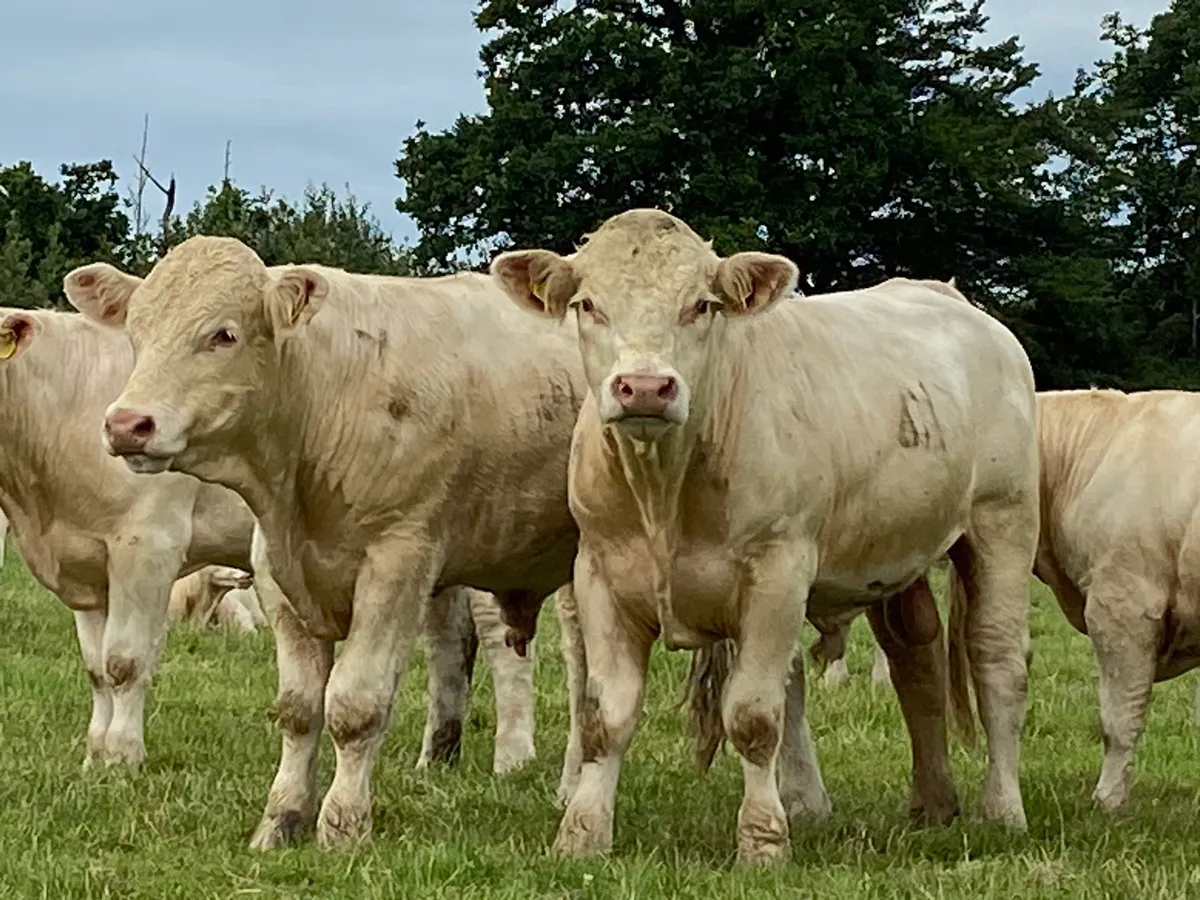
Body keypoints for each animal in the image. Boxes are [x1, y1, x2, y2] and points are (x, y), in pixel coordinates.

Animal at [0, 309, 253, 768]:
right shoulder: (87, 562)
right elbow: (96, 667)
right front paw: (95, 756)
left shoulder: (148, 547)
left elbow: (125, 662)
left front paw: (122, 756)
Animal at [64, 240, 585, 854]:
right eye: (138, 333)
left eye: (224, 334)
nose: (127, 424)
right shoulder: (276, 575)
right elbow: (298, 710)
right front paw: (282, 817)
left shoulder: (396, 565)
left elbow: (355, 706)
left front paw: (343, 824)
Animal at [492, 211, 1036, 868]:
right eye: (588, 304)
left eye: (701, 305)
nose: (644, 387)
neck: (663, 491)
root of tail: (949, 297)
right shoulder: (599, 574)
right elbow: (607, 716)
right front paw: (581, 835)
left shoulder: (777, 576)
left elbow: (753, 717)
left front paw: (763, 842)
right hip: (896, 551)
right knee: (917, 659)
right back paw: (933, 803)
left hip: (1003, 523)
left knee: (996, 660)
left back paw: (1002, 809)